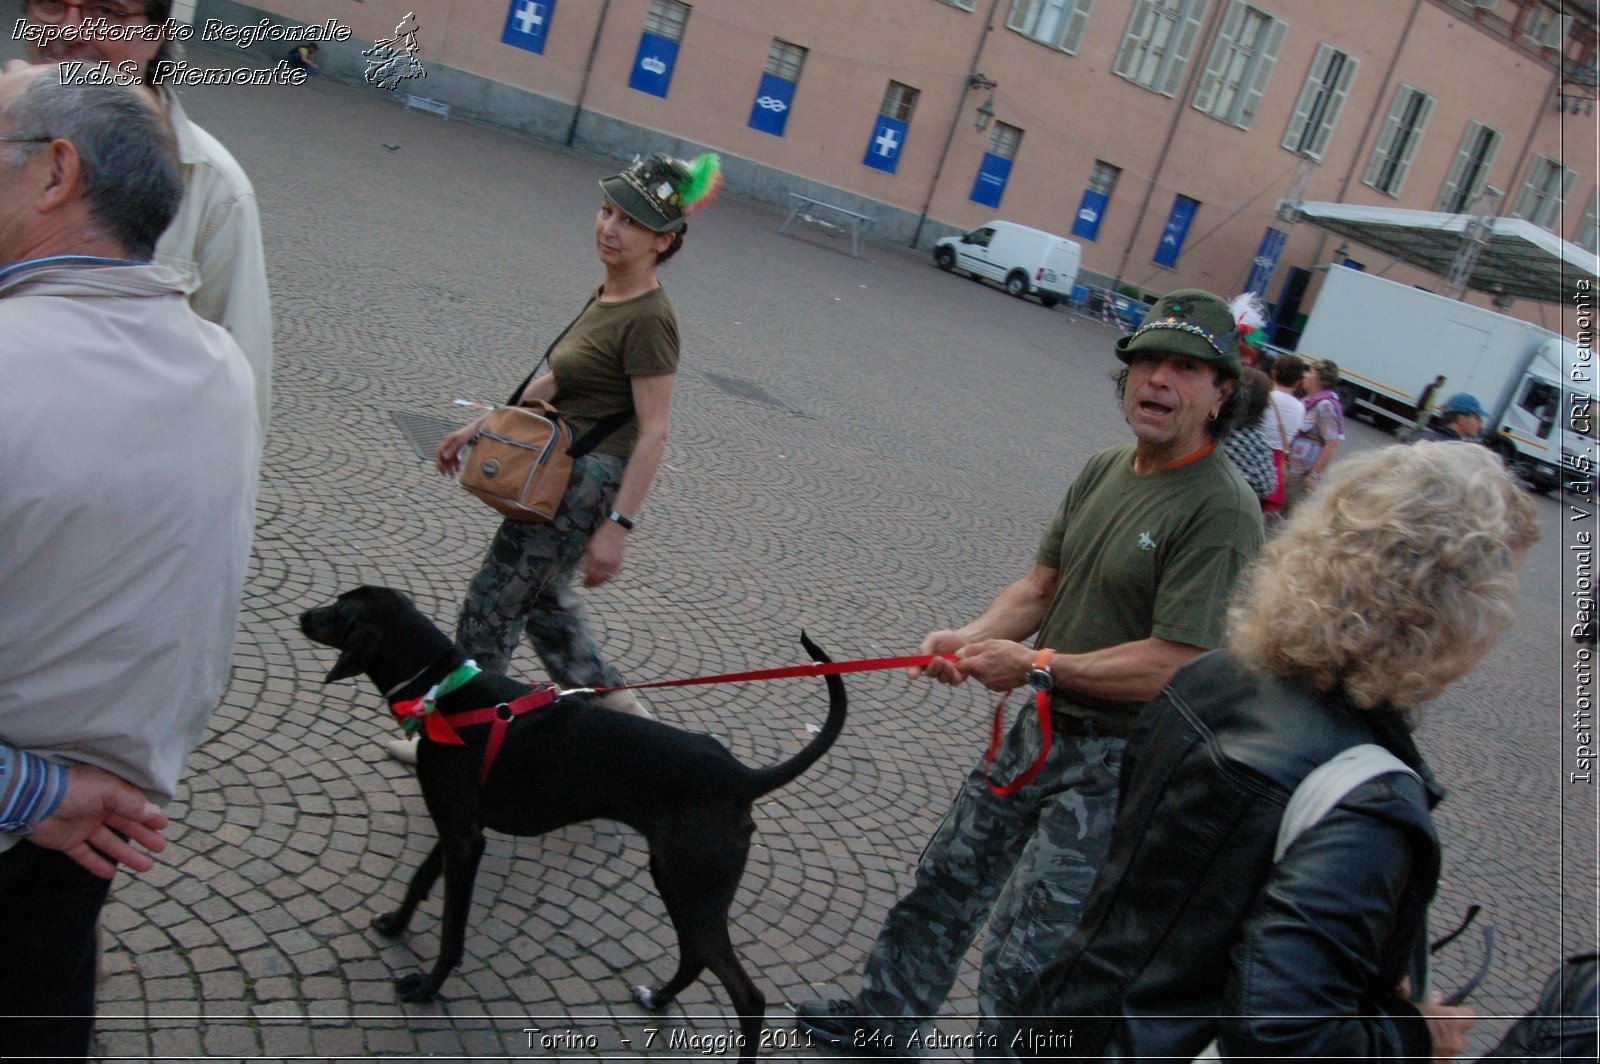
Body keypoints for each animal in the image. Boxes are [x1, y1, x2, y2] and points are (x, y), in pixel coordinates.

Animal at [302, 585, 851, 1056]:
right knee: (695, 957)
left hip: (693, 888)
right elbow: (418, 882)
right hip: (676, 881)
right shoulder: (460, 829)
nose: (303, 616)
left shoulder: (463, 840)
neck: (445, 693)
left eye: (339, 609)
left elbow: (450, 933)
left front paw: (427, 987)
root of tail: (741, 776)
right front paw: (395, 925)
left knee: (747, 995)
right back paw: (657, 1000)